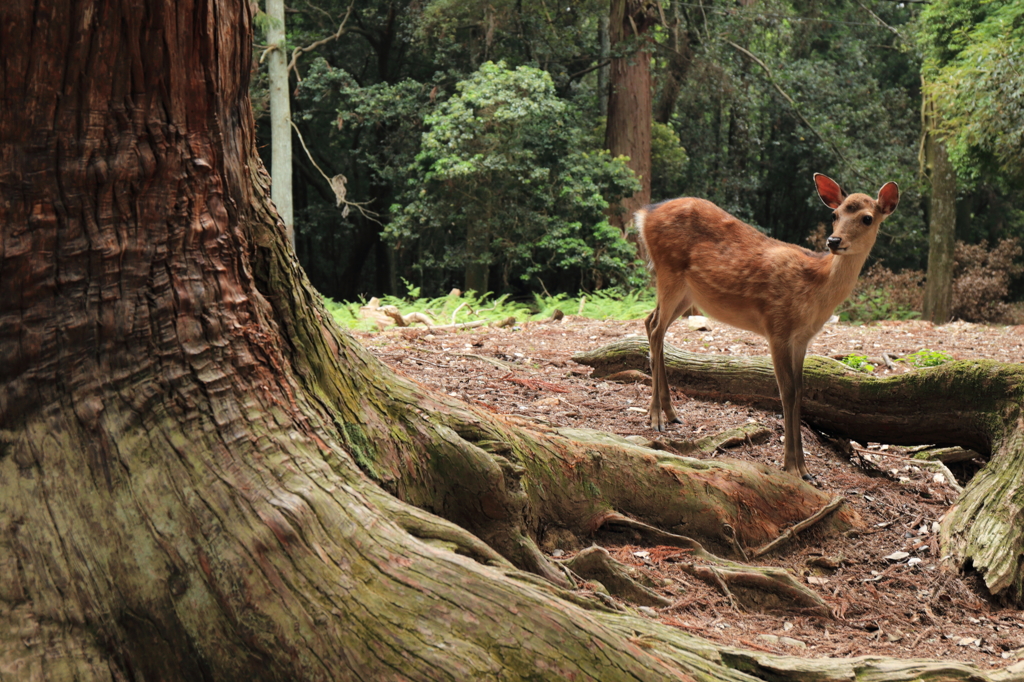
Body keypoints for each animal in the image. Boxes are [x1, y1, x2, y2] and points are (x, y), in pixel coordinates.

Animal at [634, 173, 901, 481]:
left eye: (868, 218)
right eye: (835, 215)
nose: (834, 241)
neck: (816, 287)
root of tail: (644, 213)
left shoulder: (803, 338)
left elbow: (800, 391)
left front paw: (805, 470)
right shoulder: (777, 326)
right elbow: (787, 391)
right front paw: (792, 467)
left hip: (688, 293)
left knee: (651, 322)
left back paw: (671, 412)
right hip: (669, 272)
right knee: (656, 329)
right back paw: (656, 417)